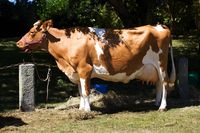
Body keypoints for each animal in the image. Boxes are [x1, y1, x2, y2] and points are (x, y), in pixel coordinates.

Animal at [17, 19, 177, 111]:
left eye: (32, 32)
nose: (18, 43)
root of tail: (159, 25)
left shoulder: (84, 69)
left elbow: (86, 92)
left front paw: (87, 111)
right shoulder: (77, 72)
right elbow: (81, 92)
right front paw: (81, 109)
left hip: (161, 64)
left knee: (165, 83)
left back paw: (162, 107)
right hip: (155, 67)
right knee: (158, 83)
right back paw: (156, 103)